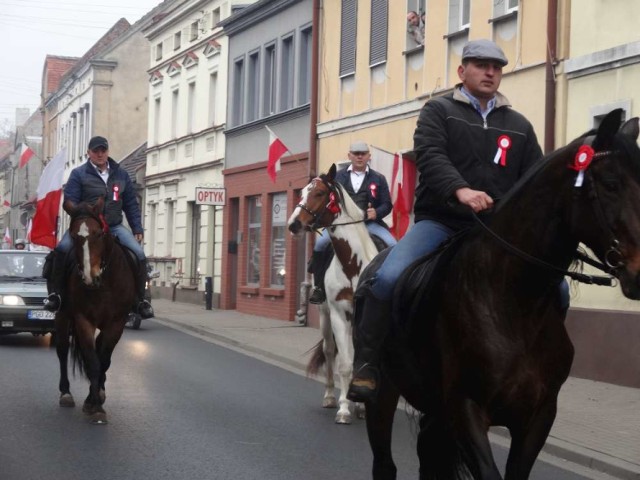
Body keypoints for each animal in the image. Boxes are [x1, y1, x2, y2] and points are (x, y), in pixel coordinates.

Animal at [55, 196, 136, 424]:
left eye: (99, 234)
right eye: (74, 236)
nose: (90, 277)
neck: (104, 284)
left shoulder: (116, 323)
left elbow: (104, 360)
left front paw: (96, 398)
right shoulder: (83, 320)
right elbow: (93, 362)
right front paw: (95, 406)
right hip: (62, 316)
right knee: (62, 349)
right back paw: (66, 393)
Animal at [358, 109, 640, 480]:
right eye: (610, 184)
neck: (512, 303)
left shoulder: (538, 416)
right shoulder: (467, 408)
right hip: (384, 394)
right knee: (384, 462)